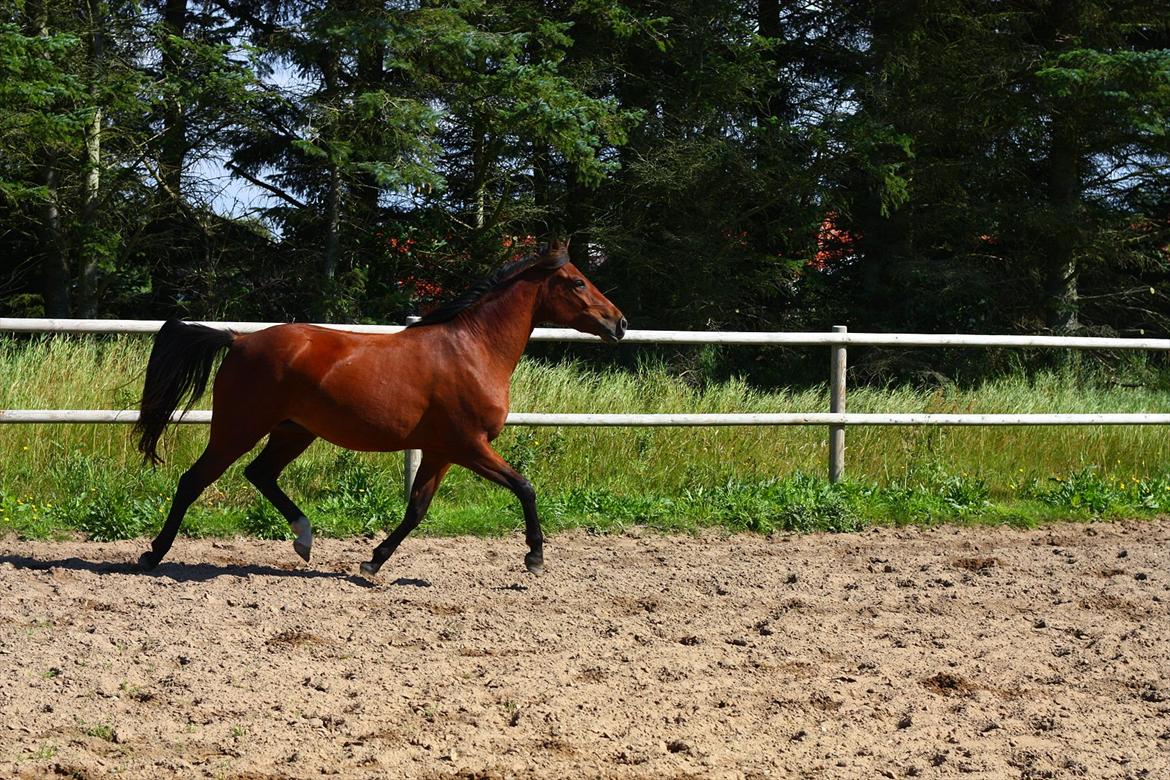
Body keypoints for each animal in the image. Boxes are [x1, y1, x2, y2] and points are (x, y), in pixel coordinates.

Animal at [132, 240, 627, 577]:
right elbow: (525, 487)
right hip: (239, 427)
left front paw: (373, 562)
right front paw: (535, 556)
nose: (619, 323)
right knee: (193, 480)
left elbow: (416, 510)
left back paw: (304, 539)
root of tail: (238, 340)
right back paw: (153, 554)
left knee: (260, 474)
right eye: (578, 282)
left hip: (293, 430)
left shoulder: (441, 452)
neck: (473, 350)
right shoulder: (469, 446)